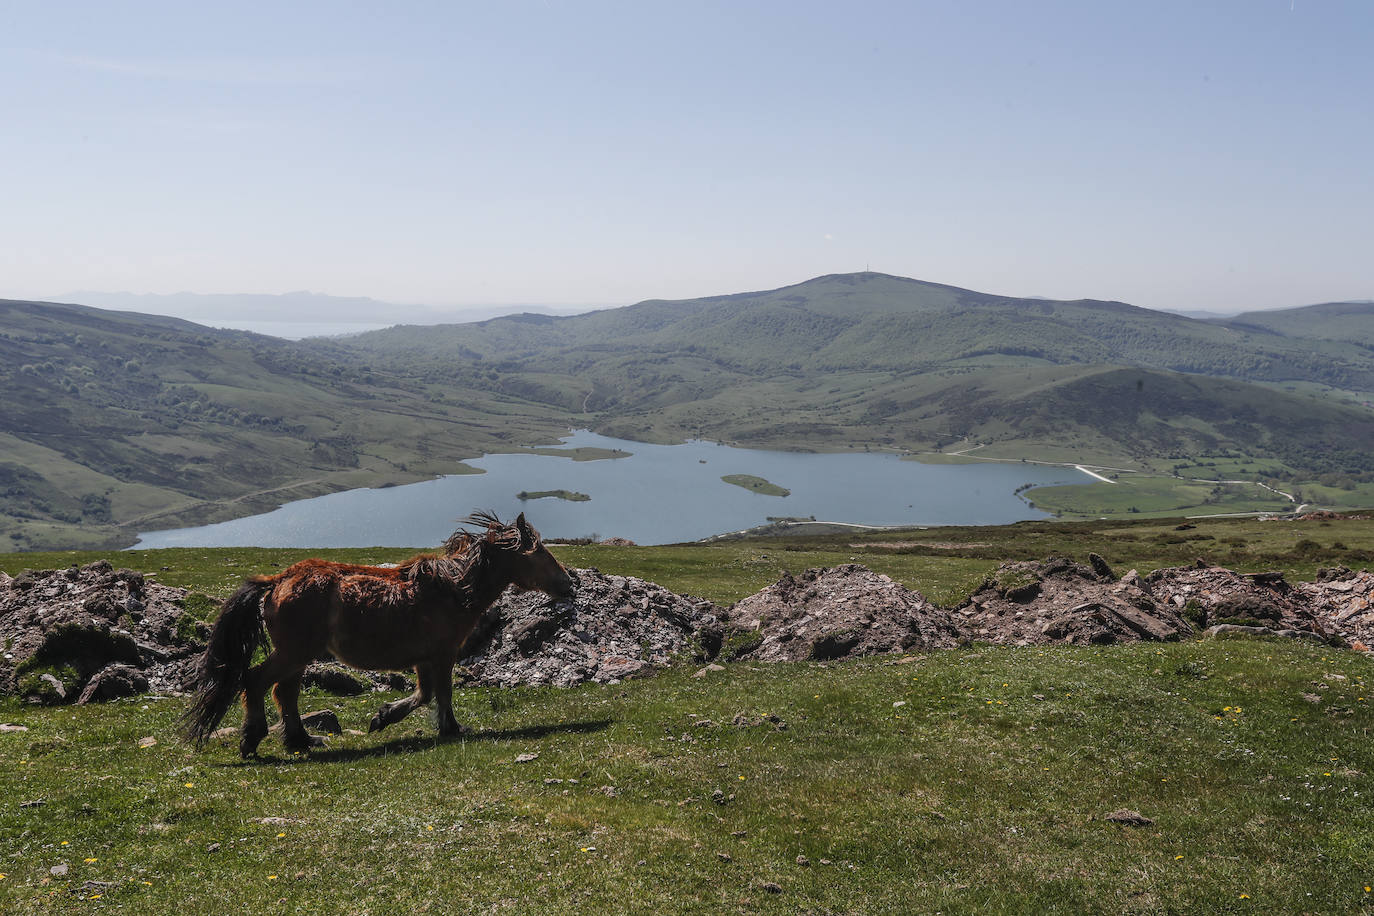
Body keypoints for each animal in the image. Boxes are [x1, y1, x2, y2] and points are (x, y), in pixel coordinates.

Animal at [179, 513, 571, 758]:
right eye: (540, 554)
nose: (568, 583)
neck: (453, 590)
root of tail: (278, 581)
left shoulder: (425, 659)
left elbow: (424, 694)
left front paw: (383, 717)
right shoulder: (442, 655)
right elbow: (441, 694)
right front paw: (451, 728)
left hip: (298, 655)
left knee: (284, 693)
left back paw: (302, 740)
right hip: (293, 652)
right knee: (257, 682)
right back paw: (253, 739)